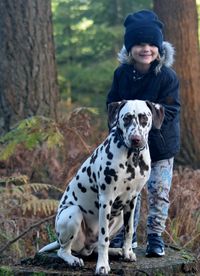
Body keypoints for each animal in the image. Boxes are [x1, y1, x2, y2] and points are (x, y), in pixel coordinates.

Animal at [39, 100, 164, 274]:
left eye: (144, 117)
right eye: (126, 118)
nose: (136, 139)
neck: (132, 157)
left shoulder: (132, 200)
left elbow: (129, 231)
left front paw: (127, 252)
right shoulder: (106, 200)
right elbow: (104, 240)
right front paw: (103, 266)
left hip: (118, 217)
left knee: (96, 247)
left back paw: (117, 251)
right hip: (73, 213)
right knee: (64, 250)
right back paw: (73, 259)